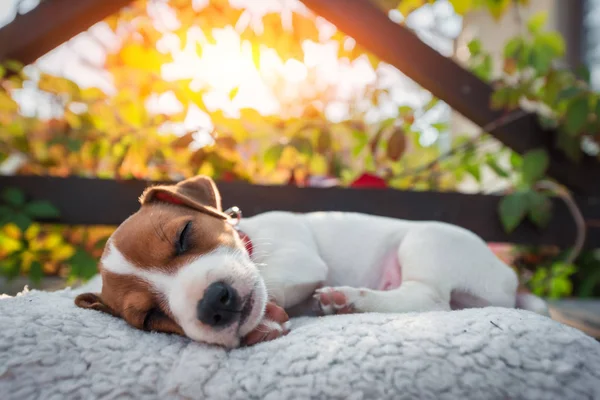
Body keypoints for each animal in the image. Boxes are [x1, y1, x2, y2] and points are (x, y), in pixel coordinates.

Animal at [74, 175, 544, 346]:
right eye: (151, 318)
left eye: (184, 235)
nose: (213, 303)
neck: (251, 239)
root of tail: (509, 280)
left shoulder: (297, 260)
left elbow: (275, 285)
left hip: (427, 241)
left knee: (430, 300)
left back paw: (350, 299)